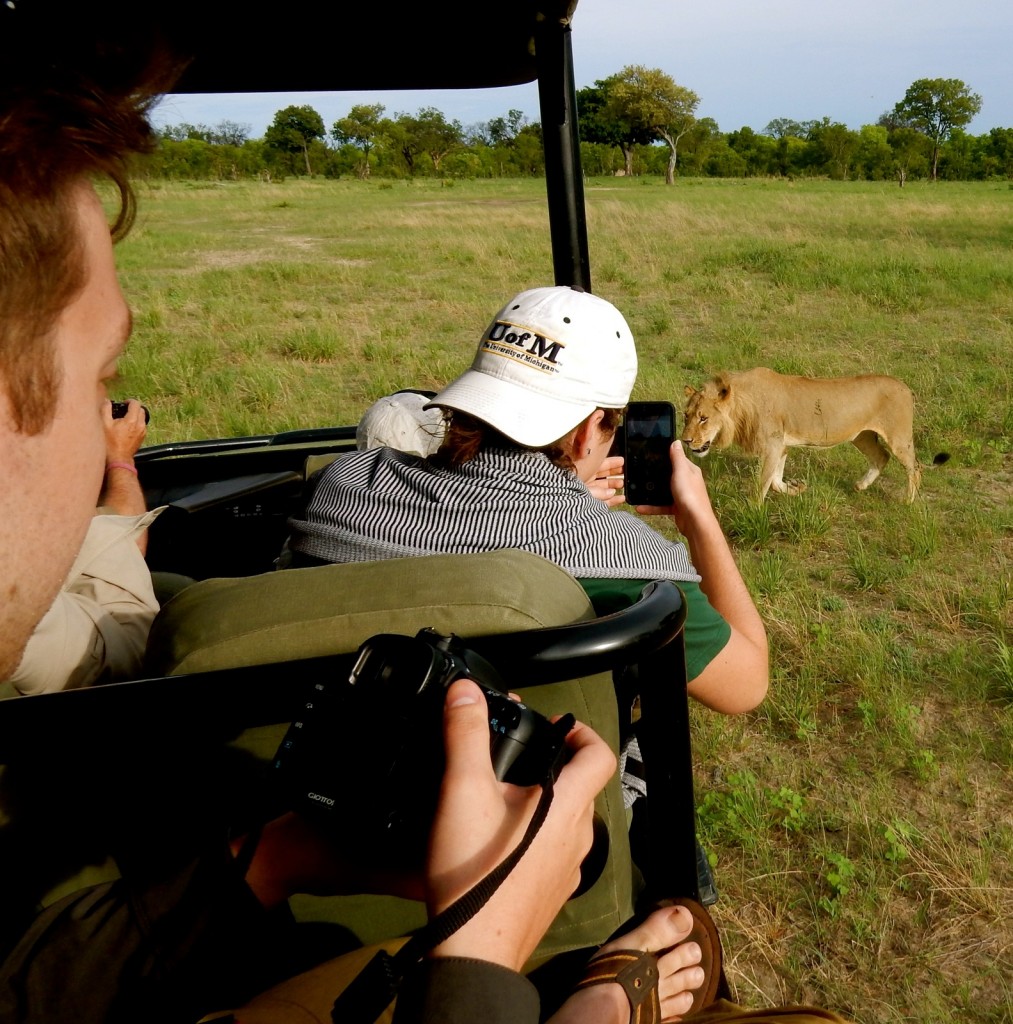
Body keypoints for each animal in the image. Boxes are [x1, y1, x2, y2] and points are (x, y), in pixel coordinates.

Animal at [680, 368, 942, 503]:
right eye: (686, 416)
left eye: (704, 418)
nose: (686, 440)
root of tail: (905, 387)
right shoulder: (781, 445)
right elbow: (775, 480)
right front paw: (796, 489)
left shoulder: (772, 445)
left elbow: (763, 484)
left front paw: (753, 511)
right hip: (862, 436)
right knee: (881, 457)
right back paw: (860, 486)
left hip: (899, 438)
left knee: (914, 468)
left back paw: (907, 502)